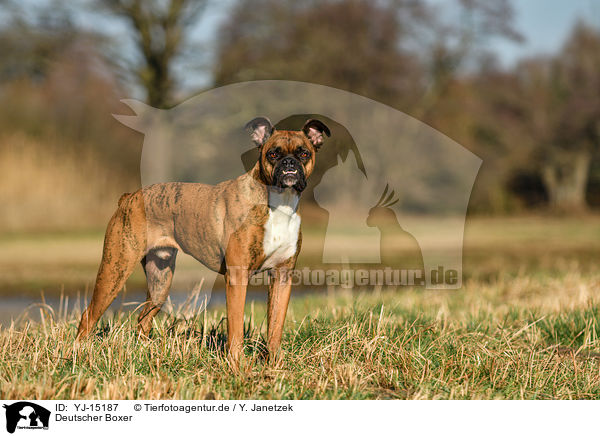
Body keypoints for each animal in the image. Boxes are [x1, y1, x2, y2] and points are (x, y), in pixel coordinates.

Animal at [75, 116, 330, 362]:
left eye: (304, 153)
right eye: (273, 154)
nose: (289, 164)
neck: (278, 204)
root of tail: (129, 198)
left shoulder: (282, 277)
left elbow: (275, 328)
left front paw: (274, 364)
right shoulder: (237, 277)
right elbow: (236, 329)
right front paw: (237, 366)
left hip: (160, 281)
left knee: (143, 320)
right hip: (115, 270)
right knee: (88, 316)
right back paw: (79, 354)